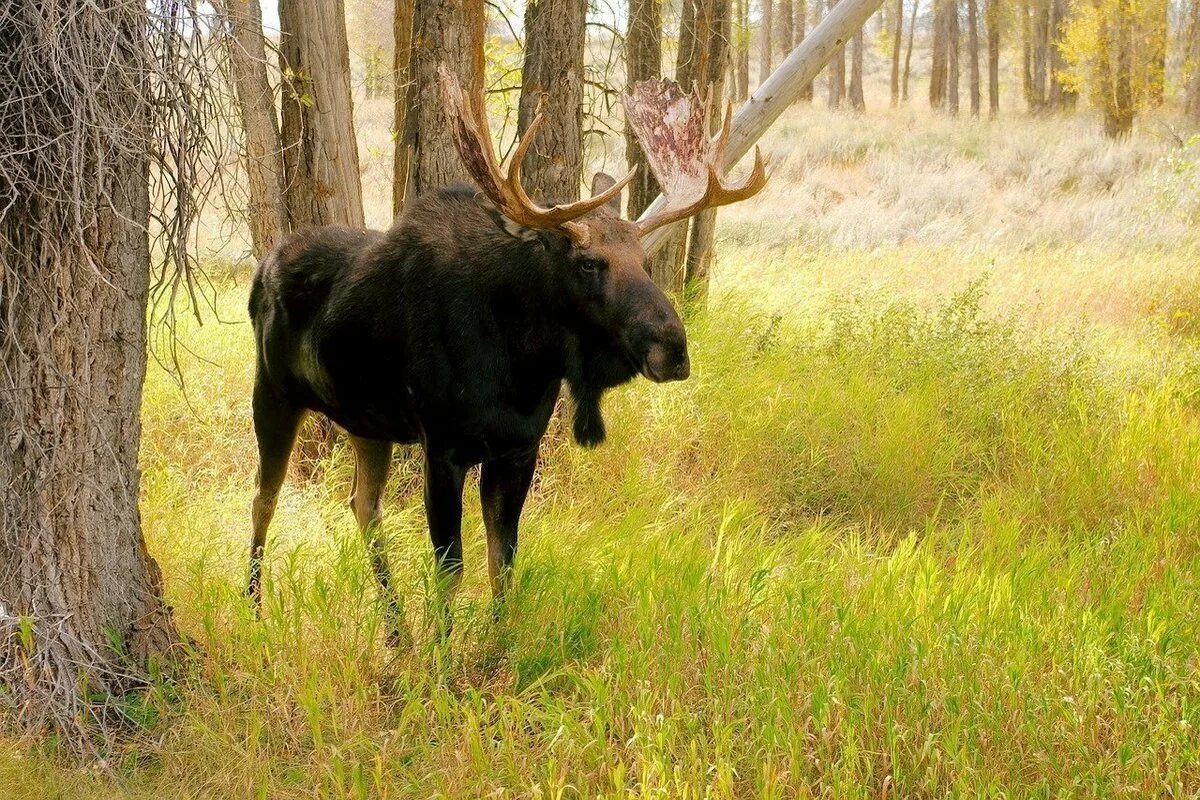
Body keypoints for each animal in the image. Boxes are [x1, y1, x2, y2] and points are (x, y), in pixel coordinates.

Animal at [247, 71, 763, 642]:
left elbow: (504, 561)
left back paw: (397, 629)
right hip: (273, 394)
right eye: (588, 263)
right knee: (263, 500)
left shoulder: (518, 449)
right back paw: (255, 609)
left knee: (363, 504)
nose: (673, 348)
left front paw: (497, 644)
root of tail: (261, 270)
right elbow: (451, 568)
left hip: (367, 423)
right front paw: (444, 653)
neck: (521, 364)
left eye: (644, 260)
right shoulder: (443, 446)